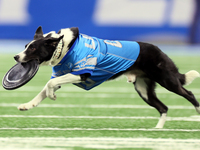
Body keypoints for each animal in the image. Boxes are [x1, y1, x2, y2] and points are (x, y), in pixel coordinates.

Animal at [13, 25, 200, 127]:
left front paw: (52, 96)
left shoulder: (82, 73)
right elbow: (45, 88)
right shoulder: (64, 74)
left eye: (32, 48)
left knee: (189, 94)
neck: (65, 46)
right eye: (25, 46)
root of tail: (160, 50)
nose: (15, 57)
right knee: (163, 107)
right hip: (143, 89)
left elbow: (50, 84)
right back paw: (157, 129)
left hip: (167, 80)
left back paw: (198, 111)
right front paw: (28, 105)